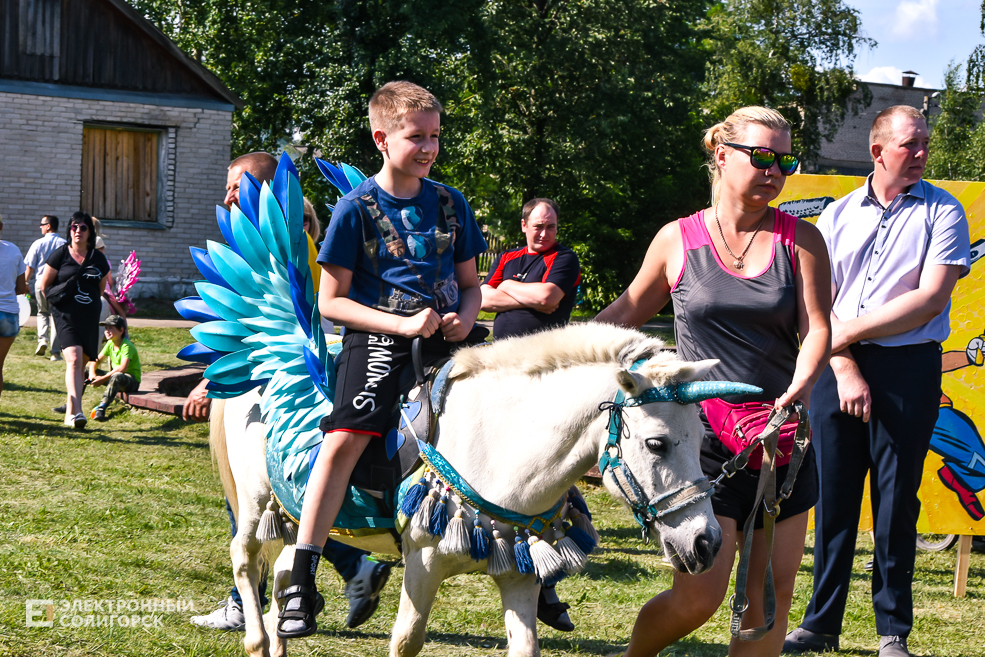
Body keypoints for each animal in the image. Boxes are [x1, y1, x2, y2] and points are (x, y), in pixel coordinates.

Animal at [215, 322, 736, 656]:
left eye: (703, 438)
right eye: (656, 443)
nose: (706, 543)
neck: (499, 444)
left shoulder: (522, 574)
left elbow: (525, 647)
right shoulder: (422, 565)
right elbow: (406, 641)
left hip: (294, 511)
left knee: (286, 573)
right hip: (254, 502)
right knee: (244, 558)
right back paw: (257, 641)